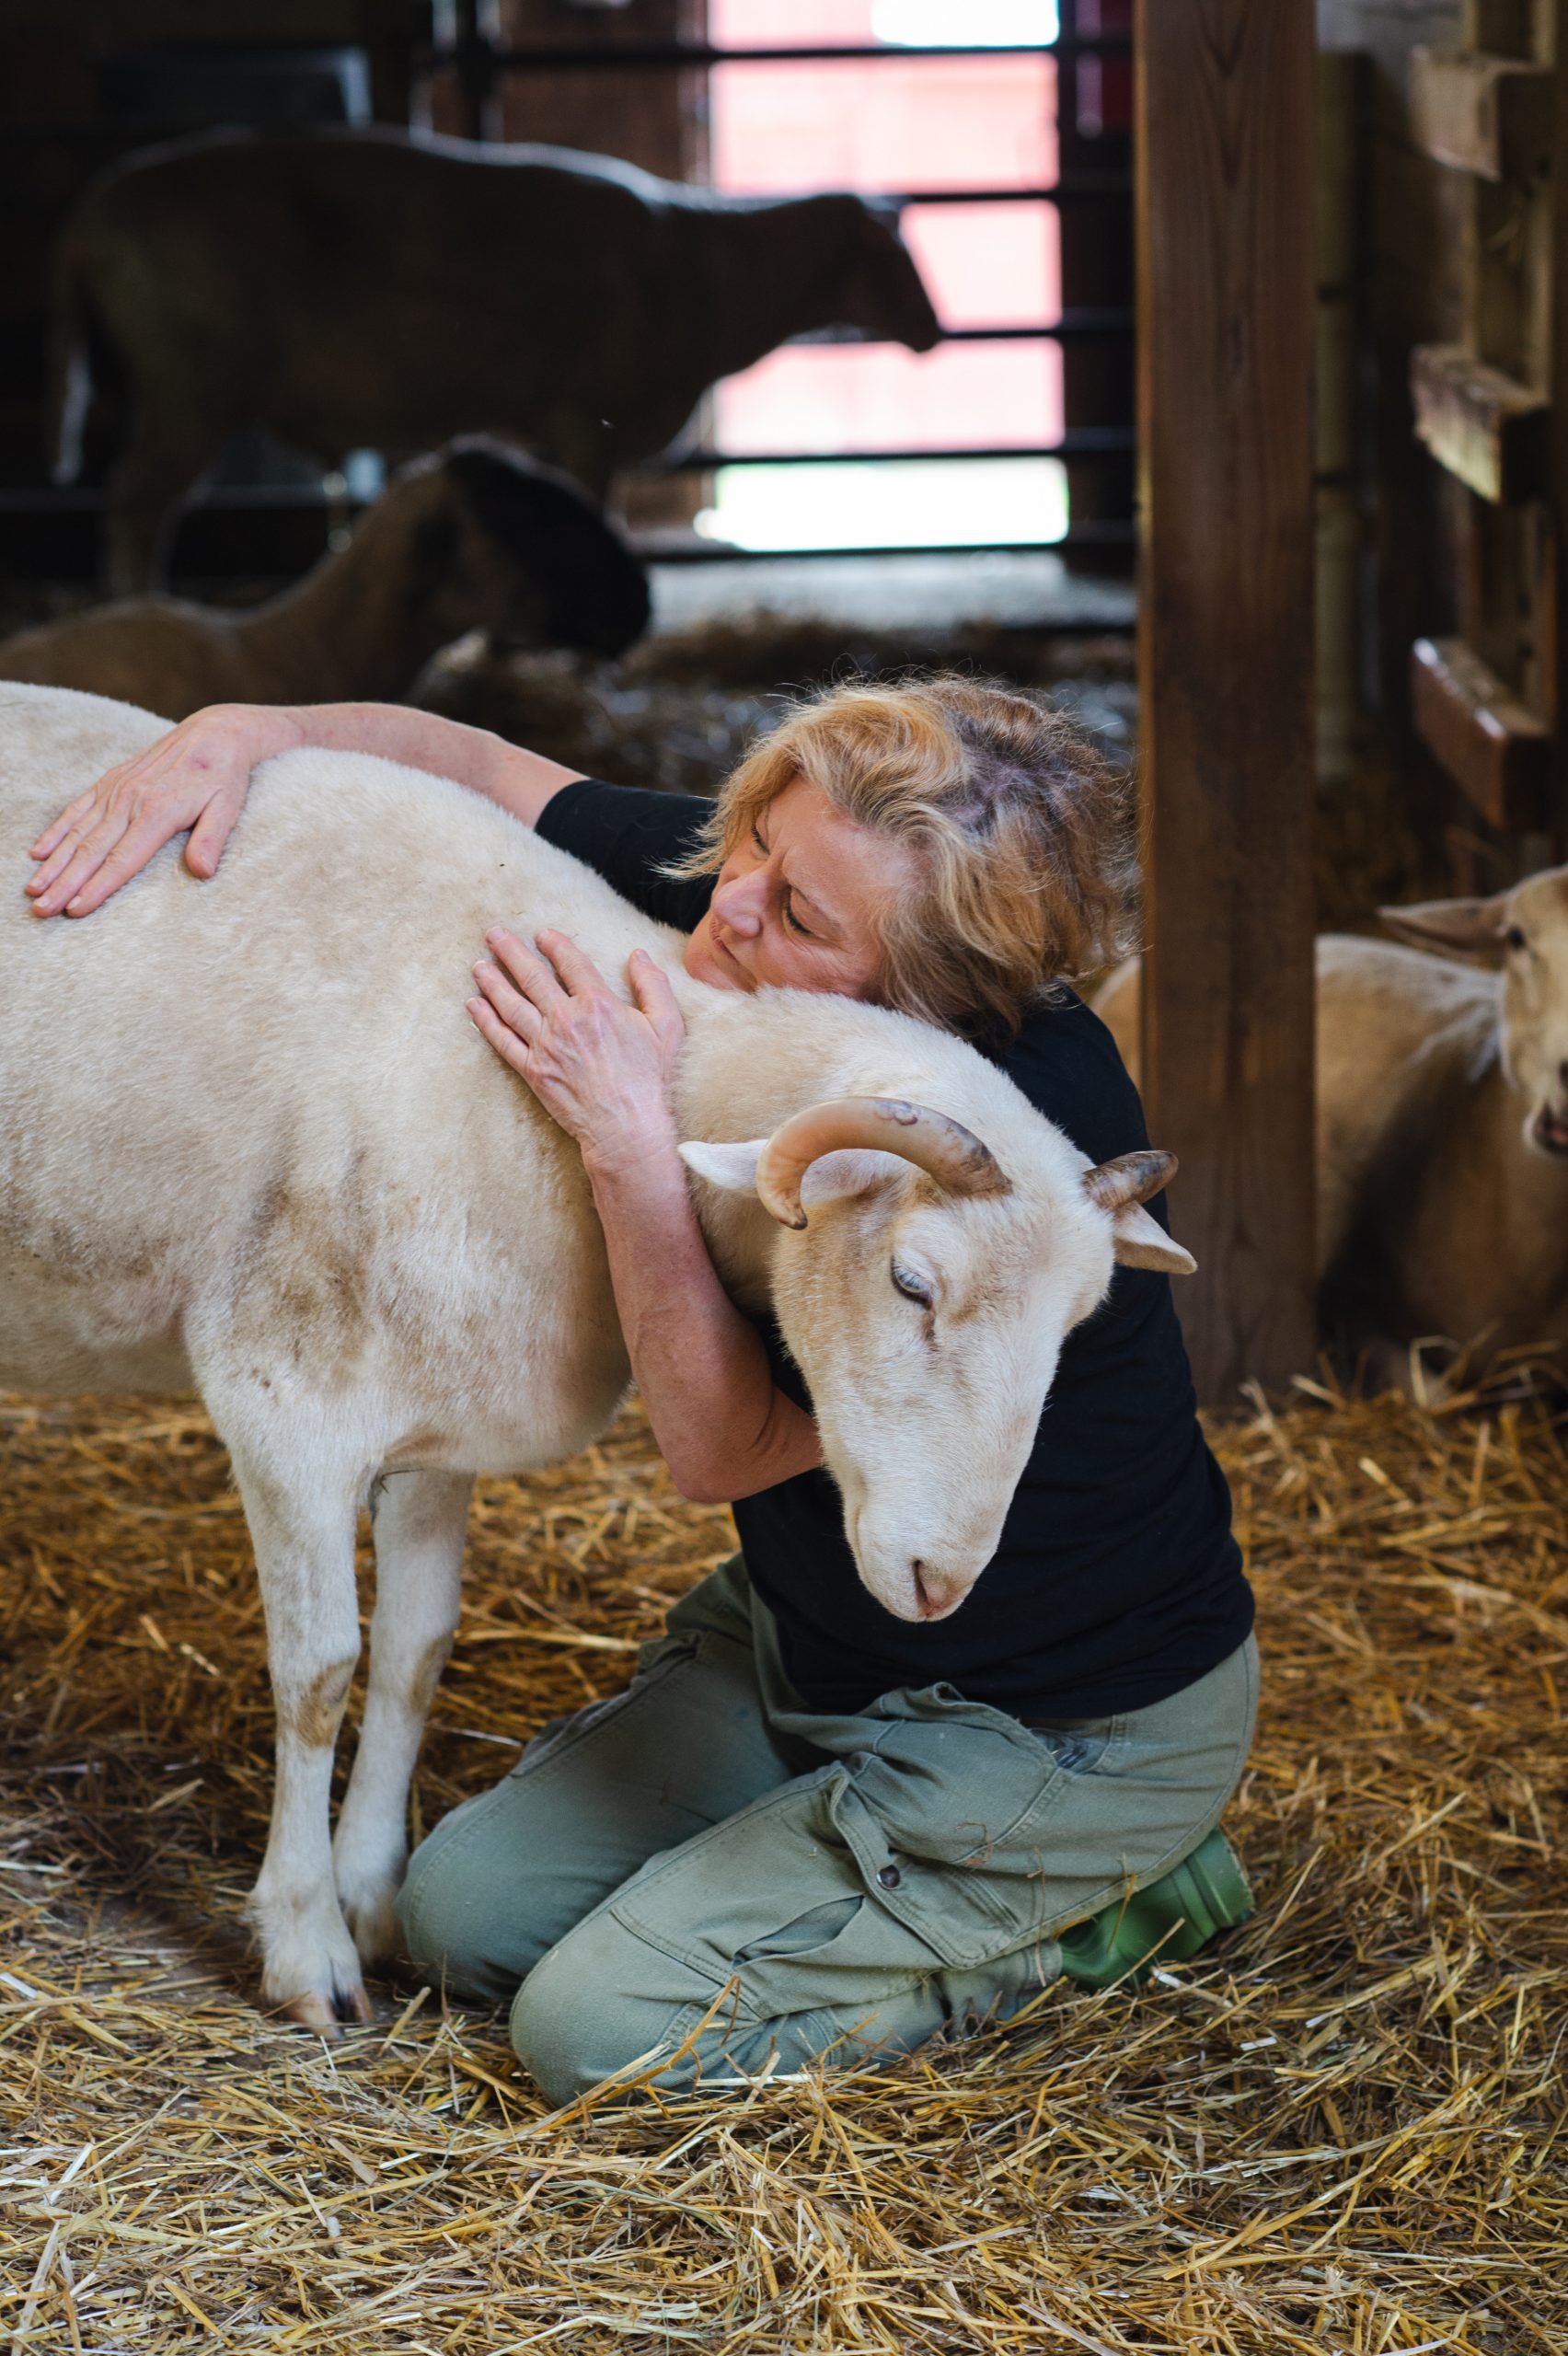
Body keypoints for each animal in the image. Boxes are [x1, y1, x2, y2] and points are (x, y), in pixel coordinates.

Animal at [52, 129, 941, 589]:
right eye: (897, 257)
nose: (937, 329)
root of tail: (93, 210)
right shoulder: (590, 415)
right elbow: (597, 510)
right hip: (189, 391)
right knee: (136, 505)